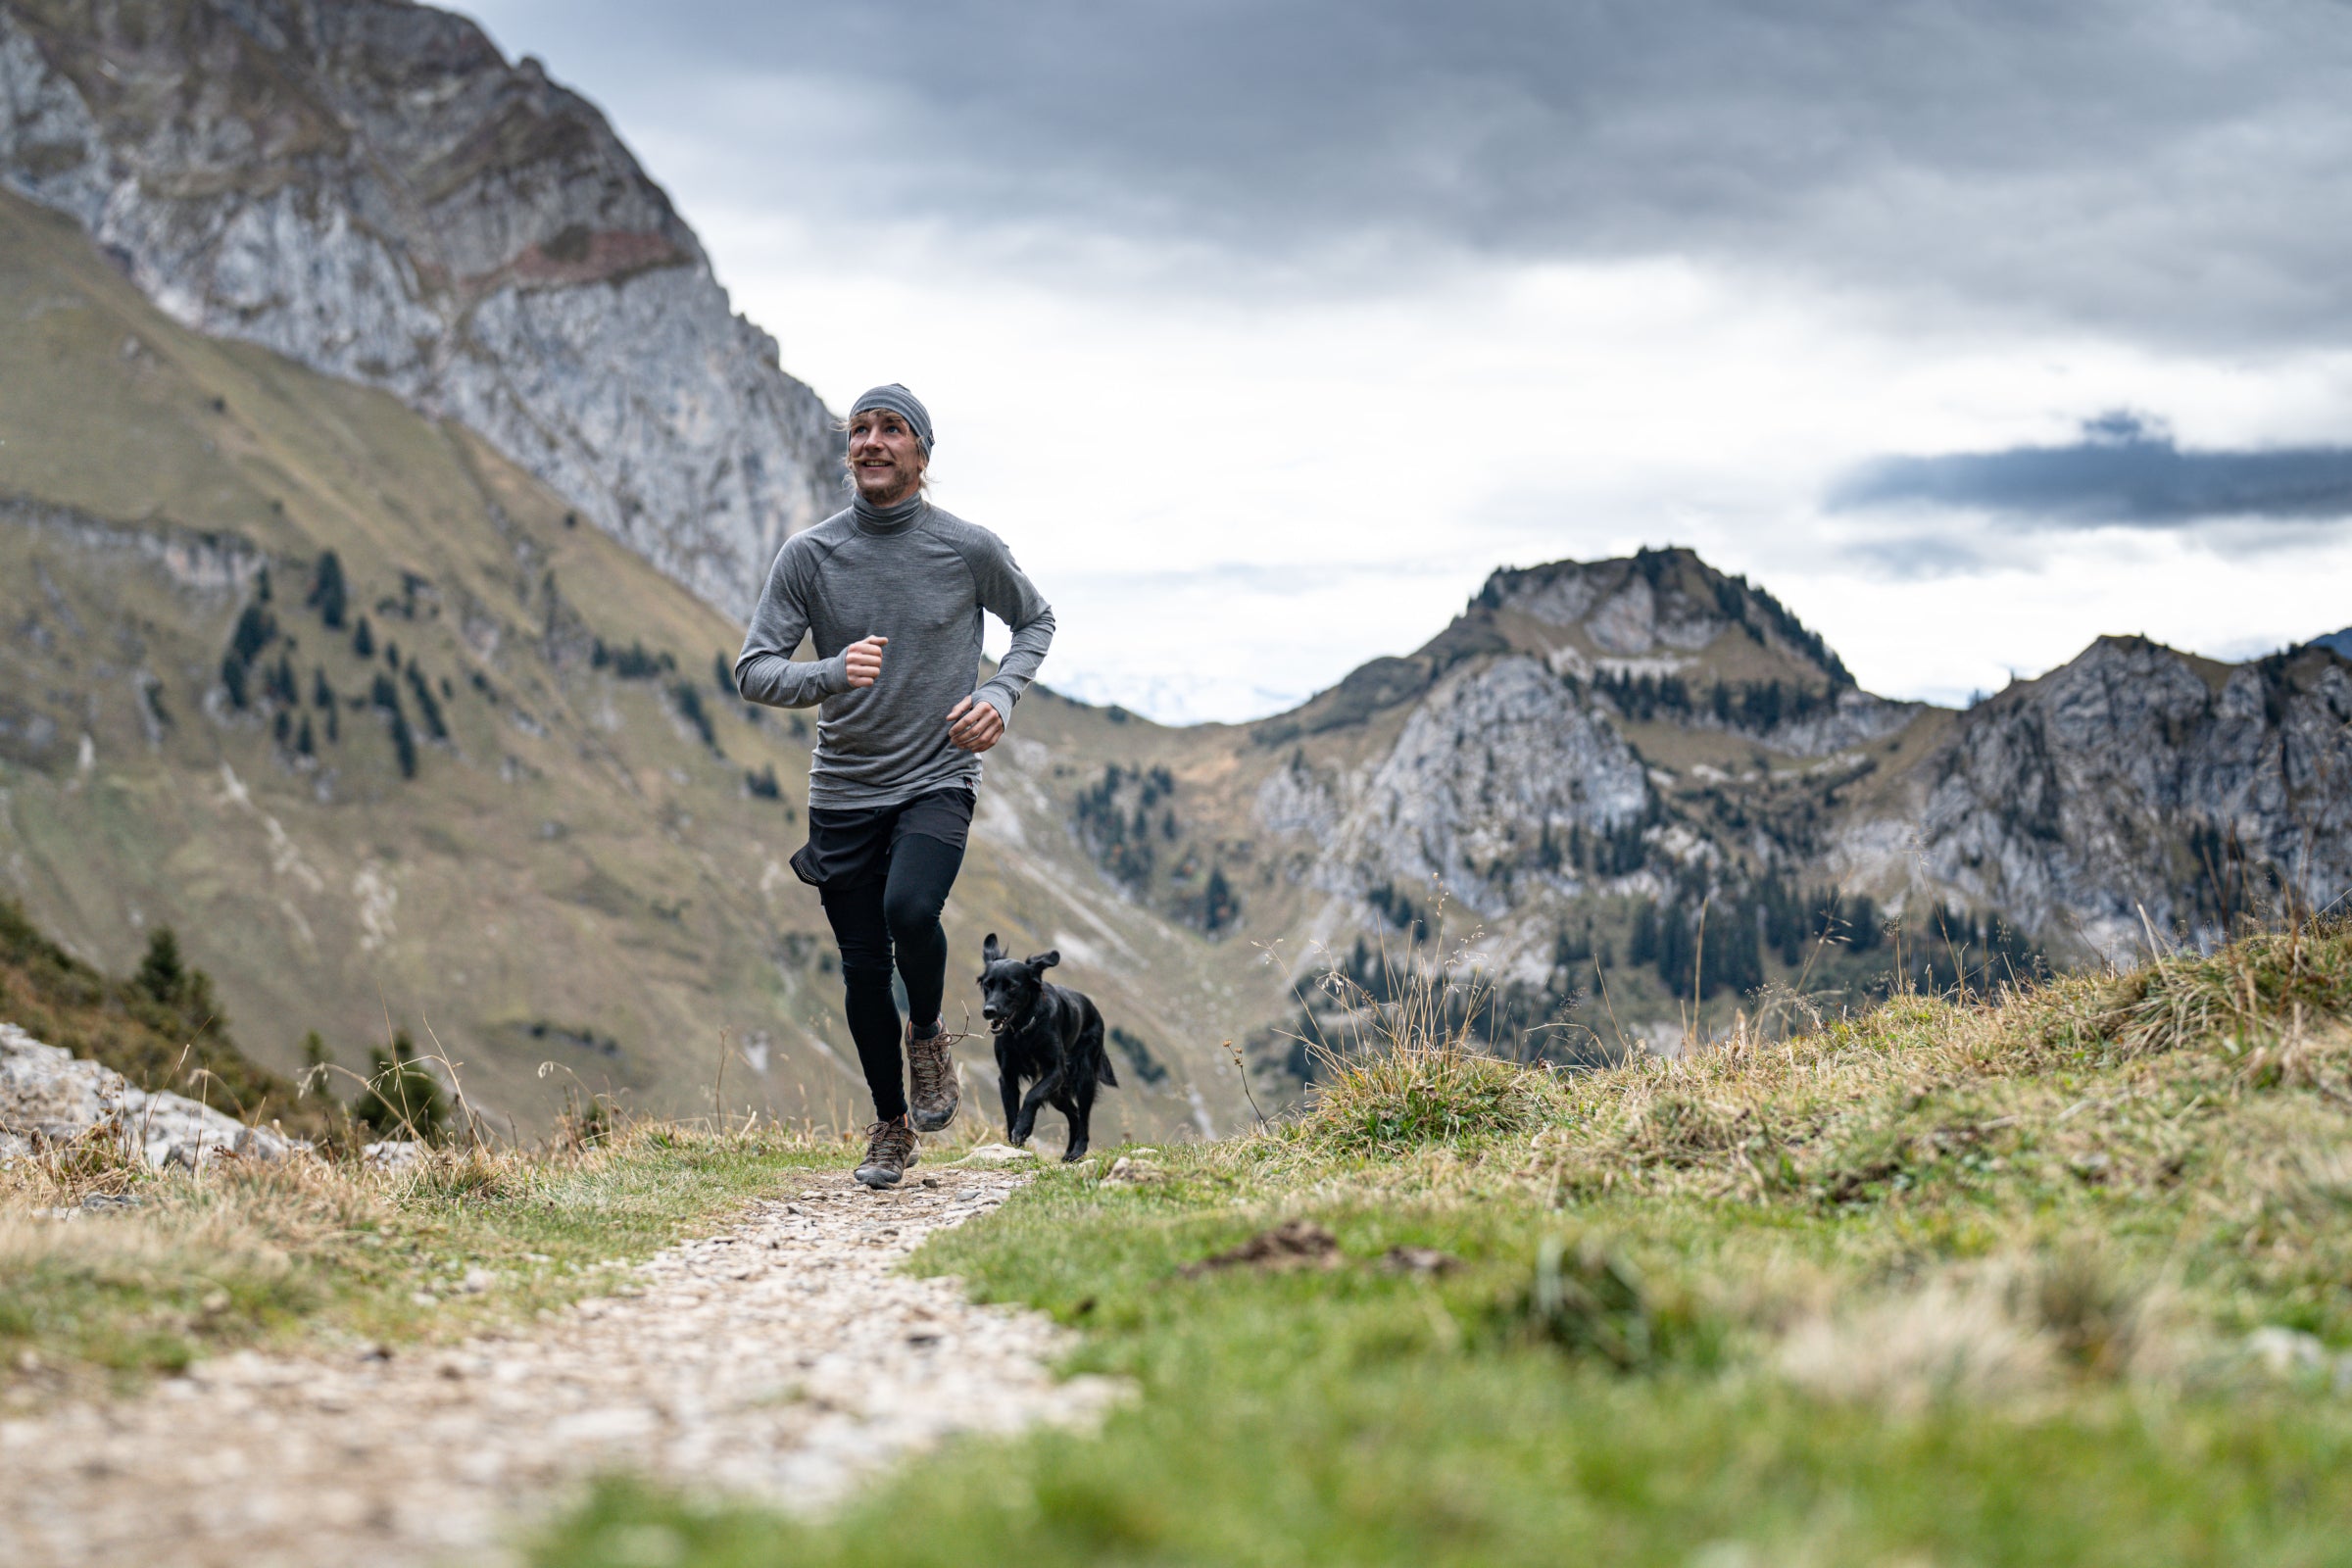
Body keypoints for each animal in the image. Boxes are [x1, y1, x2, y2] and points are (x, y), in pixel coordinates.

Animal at [978, 930, 1114, 1165]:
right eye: (988, 984)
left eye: (1012, 986)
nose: (989, 1011)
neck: (1023, 1029)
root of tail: (1093, 1009)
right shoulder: (1008, 1076)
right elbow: (1011, 1111)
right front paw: (1015, 1145)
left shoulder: (1056, 1070)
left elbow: (1032, 1096)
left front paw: (1023, 1128)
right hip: (1057, 1093)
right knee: (1074, 1114)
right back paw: (1068, 1153)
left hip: (1083, 1079)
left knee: (1084, 1118)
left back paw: (1077, 1151)